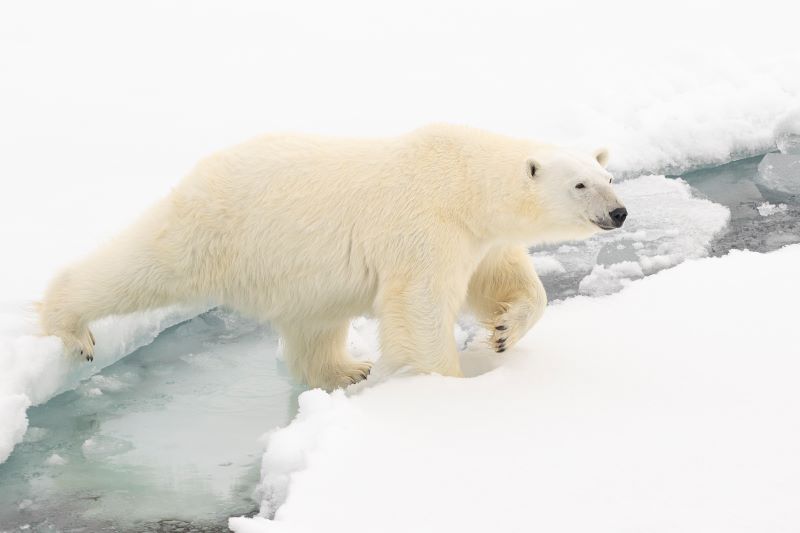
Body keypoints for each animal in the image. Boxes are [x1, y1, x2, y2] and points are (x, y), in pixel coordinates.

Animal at [39, 125, 624, 390]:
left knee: (316, 327)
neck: (462, 181)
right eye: (580, 185)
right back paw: (72, 326)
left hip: (301, 276)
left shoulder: (476, 236)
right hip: (217, 230)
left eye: (609, 176)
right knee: (142, 267)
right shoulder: (425, 226)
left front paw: (501, 332)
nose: (619, 213)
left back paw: (350, 369)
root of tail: (204, 171)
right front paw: (444, 386)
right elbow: (419, 305)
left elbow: (507, 281)